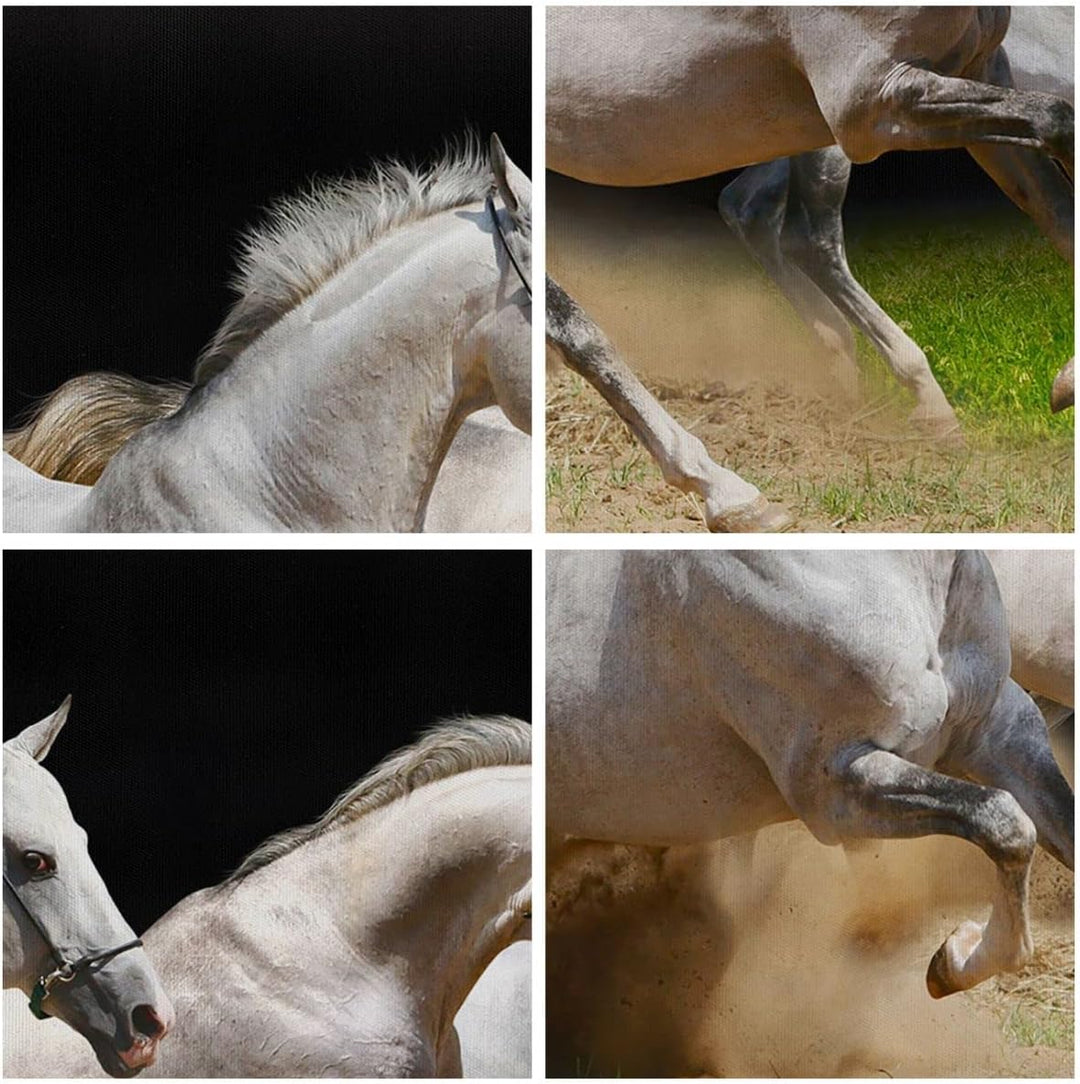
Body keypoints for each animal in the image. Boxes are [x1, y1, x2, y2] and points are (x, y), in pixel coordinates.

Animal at [546, 7, 1074, 530]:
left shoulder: (981, 68)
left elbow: (1056, 206)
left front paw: (1065, 382)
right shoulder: (872, 101)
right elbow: (1060, 120)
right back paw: (737, 489)